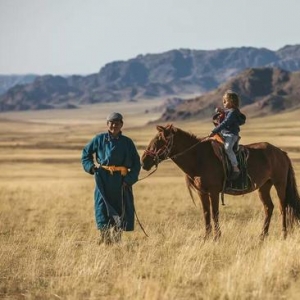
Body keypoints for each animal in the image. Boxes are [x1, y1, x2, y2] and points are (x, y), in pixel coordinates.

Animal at [142, 123, 300, 239]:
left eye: (159, 141)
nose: (144, 161)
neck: (198, 158)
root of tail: (281, 152)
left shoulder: (213, 192)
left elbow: (215, 213)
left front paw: (216, 237)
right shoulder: (202, 193)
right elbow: (206, 213)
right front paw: (206, 237)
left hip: (279, 184)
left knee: (282, 207)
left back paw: (283, 234)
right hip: (264, 186)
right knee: (269, 207)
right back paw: (262, 235)